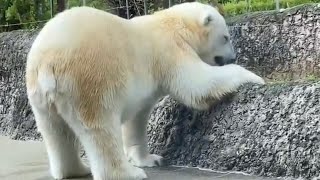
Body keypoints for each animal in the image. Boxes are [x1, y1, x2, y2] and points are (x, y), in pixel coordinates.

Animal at [25, 1, 264, 180]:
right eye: (225, 37)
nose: (233, 57)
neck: (175, 23)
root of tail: (47, 62)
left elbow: (136, 119)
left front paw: (150, 159)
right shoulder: (170, 50)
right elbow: (197, 84)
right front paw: (254, 77)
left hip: (40, 97)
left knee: (56, 131)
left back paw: (75, 169)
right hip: (90, 81)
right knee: (100, 130)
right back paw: (127, 173)